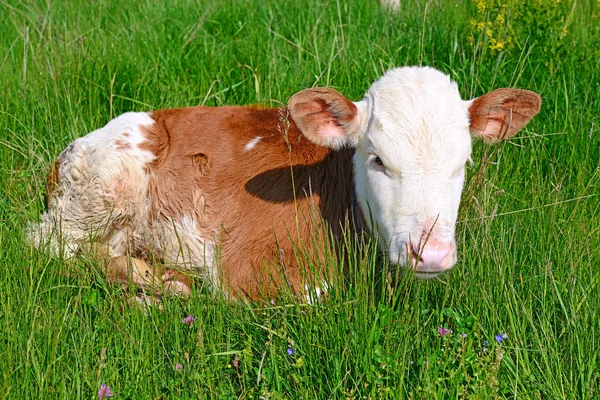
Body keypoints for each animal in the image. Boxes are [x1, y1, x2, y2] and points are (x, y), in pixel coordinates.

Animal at [28, 67, 540, 300]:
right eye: (377, 159)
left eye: (461, 163)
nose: (429, 253)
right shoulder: (243, 267)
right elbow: (320, 298)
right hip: (101, 191)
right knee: (50, 246)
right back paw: (161, 284)